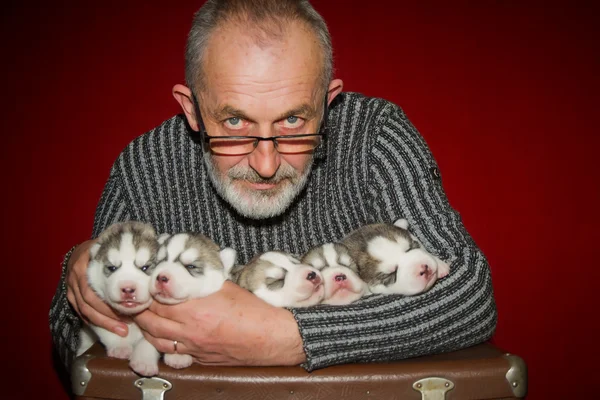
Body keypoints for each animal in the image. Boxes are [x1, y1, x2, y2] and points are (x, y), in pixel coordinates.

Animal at [77, 220, 162, 376]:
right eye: (112, 268)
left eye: (145, 267)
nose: (128, 289)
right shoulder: (97, 314)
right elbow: (109, 330)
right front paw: (120, 348)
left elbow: (151, 340)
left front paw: (144, 361)